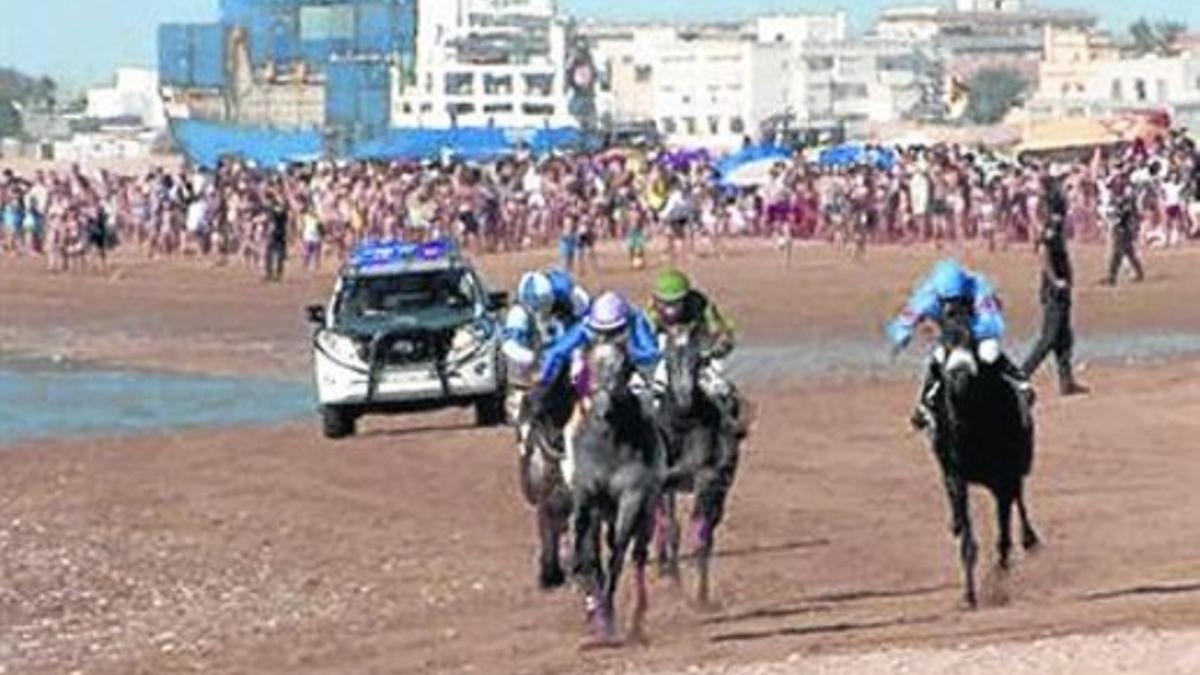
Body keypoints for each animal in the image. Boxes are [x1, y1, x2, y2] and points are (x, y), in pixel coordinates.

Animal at [564, 341, 662, 638]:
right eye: (590, 366)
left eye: (624, 368)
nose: (602, 408)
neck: (609, 444)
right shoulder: (585, 492)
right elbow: (581, 532)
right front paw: (575, 567)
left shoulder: (633, 497)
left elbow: (618, 550)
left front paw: (607, 611)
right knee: (596, 548)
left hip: (647, 514)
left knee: (638, 555)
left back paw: (634, 617)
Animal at [657, 324, 739, 600]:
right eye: (668, 361)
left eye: (698, 362)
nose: (684, 400)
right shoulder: (664, 483)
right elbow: (670, 526)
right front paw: (672, 577)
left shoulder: (706, 480)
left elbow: (701, 532)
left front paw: (700, 595)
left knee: (710, 526)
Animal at [931, 296, 1036, 607]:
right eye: (945, 337)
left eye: (973, 336)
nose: (959, 376)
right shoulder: (957, 476)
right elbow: (968, 540)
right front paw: (969, 595)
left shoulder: (1004, 476)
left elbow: (1004, 537)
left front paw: (1000, 586)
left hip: (1018, 464)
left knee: (1019, 500)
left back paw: (1030, 539)